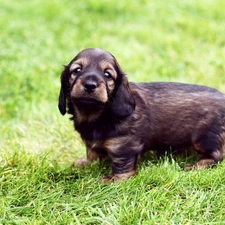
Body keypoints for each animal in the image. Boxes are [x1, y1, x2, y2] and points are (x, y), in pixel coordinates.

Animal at [58, 48, 225, 183]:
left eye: (107, 75)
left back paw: (196, 165)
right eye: (77, 70)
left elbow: (122, 165)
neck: (97, 115)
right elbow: (92, 152)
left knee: (216, 156)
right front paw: (86, 163)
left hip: (205, 138)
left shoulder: (124, 145)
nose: (90, 85)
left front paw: (114, 180)